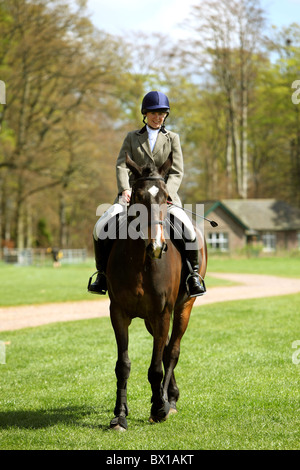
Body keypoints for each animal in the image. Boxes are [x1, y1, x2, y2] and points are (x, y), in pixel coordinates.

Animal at [105, 152, 206, 432]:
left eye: (165, 197)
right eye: (138, 197)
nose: (157, 246)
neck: (141, 261)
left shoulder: (163, 313)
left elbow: (157, 367)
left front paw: (159, 408)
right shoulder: (118, 312)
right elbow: (123, 365)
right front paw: (120, 415)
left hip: (183, 308)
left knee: (172, 350)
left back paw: (167, 402)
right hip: (151, 319)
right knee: (165, 346)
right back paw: (168, 396)